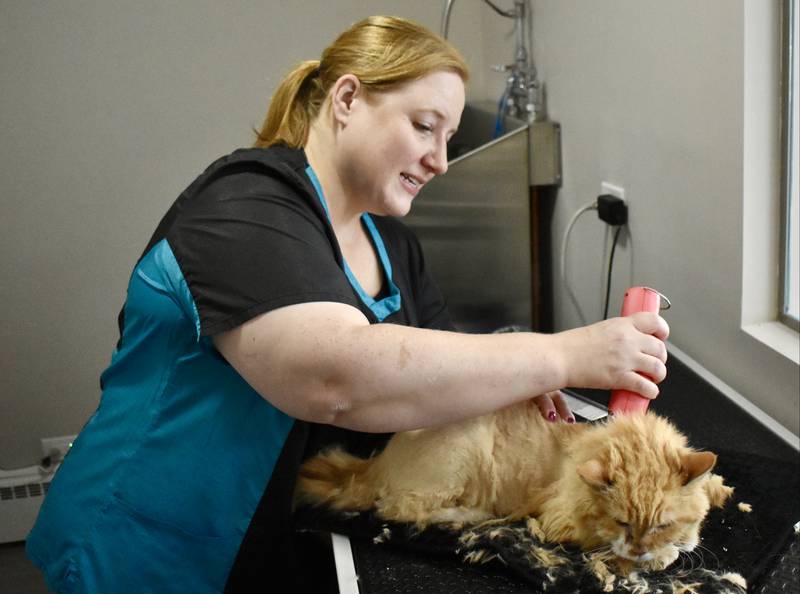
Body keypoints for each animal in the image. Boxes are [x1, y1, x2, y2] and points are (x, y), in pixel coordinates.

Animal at [296, 402, 732, 568]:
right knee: (403, 508)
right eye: (622, 522)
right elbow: (649, 553)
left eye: (661, 523)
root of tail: (377, 463)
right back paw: (471, 516)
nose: (640, 547)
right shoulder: (561, 520)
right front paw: (661, 554)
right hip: (465, 450)